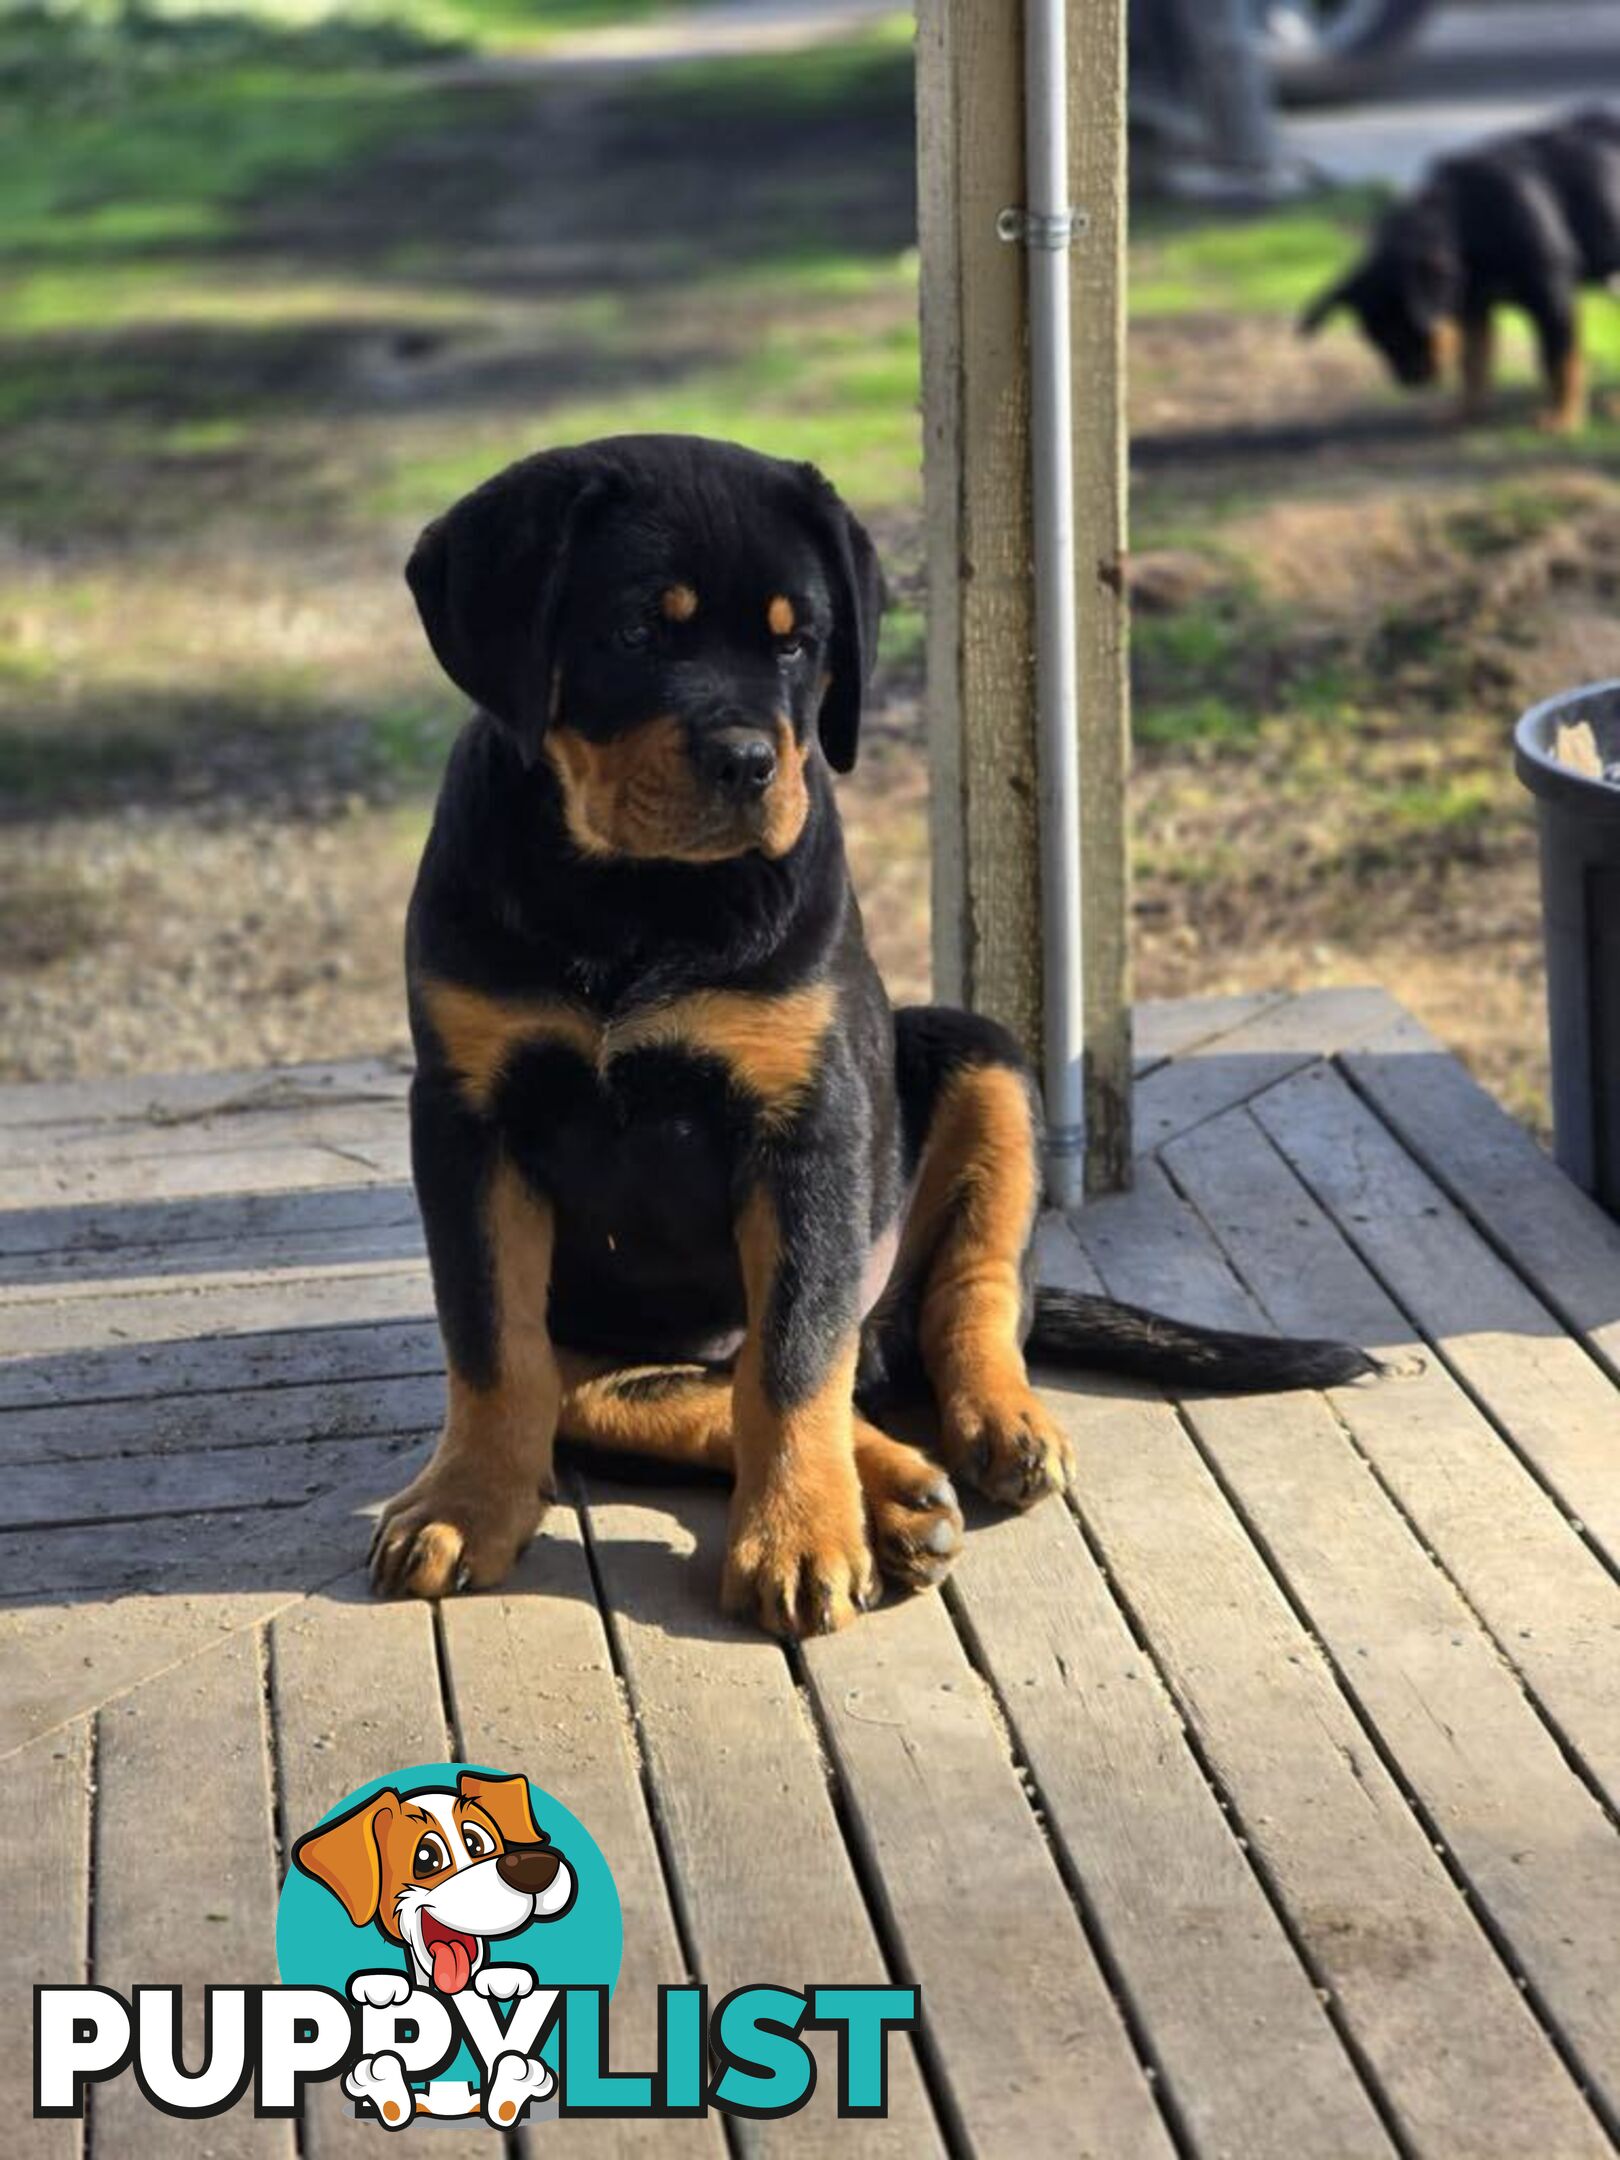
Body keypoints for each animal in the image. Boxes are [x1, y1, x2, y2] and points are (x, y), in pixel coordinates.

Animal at [1304, 106, 1620, 434]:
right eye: (1378, 342)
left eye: (1404, 334)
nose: (1407, 380)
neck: (1463, 220)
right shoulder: (1473, 308)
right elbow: (1472, 364)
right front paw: (1465, 413)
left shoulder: (1551, 297)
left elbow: (1559, 360)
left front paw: (1563, 418)